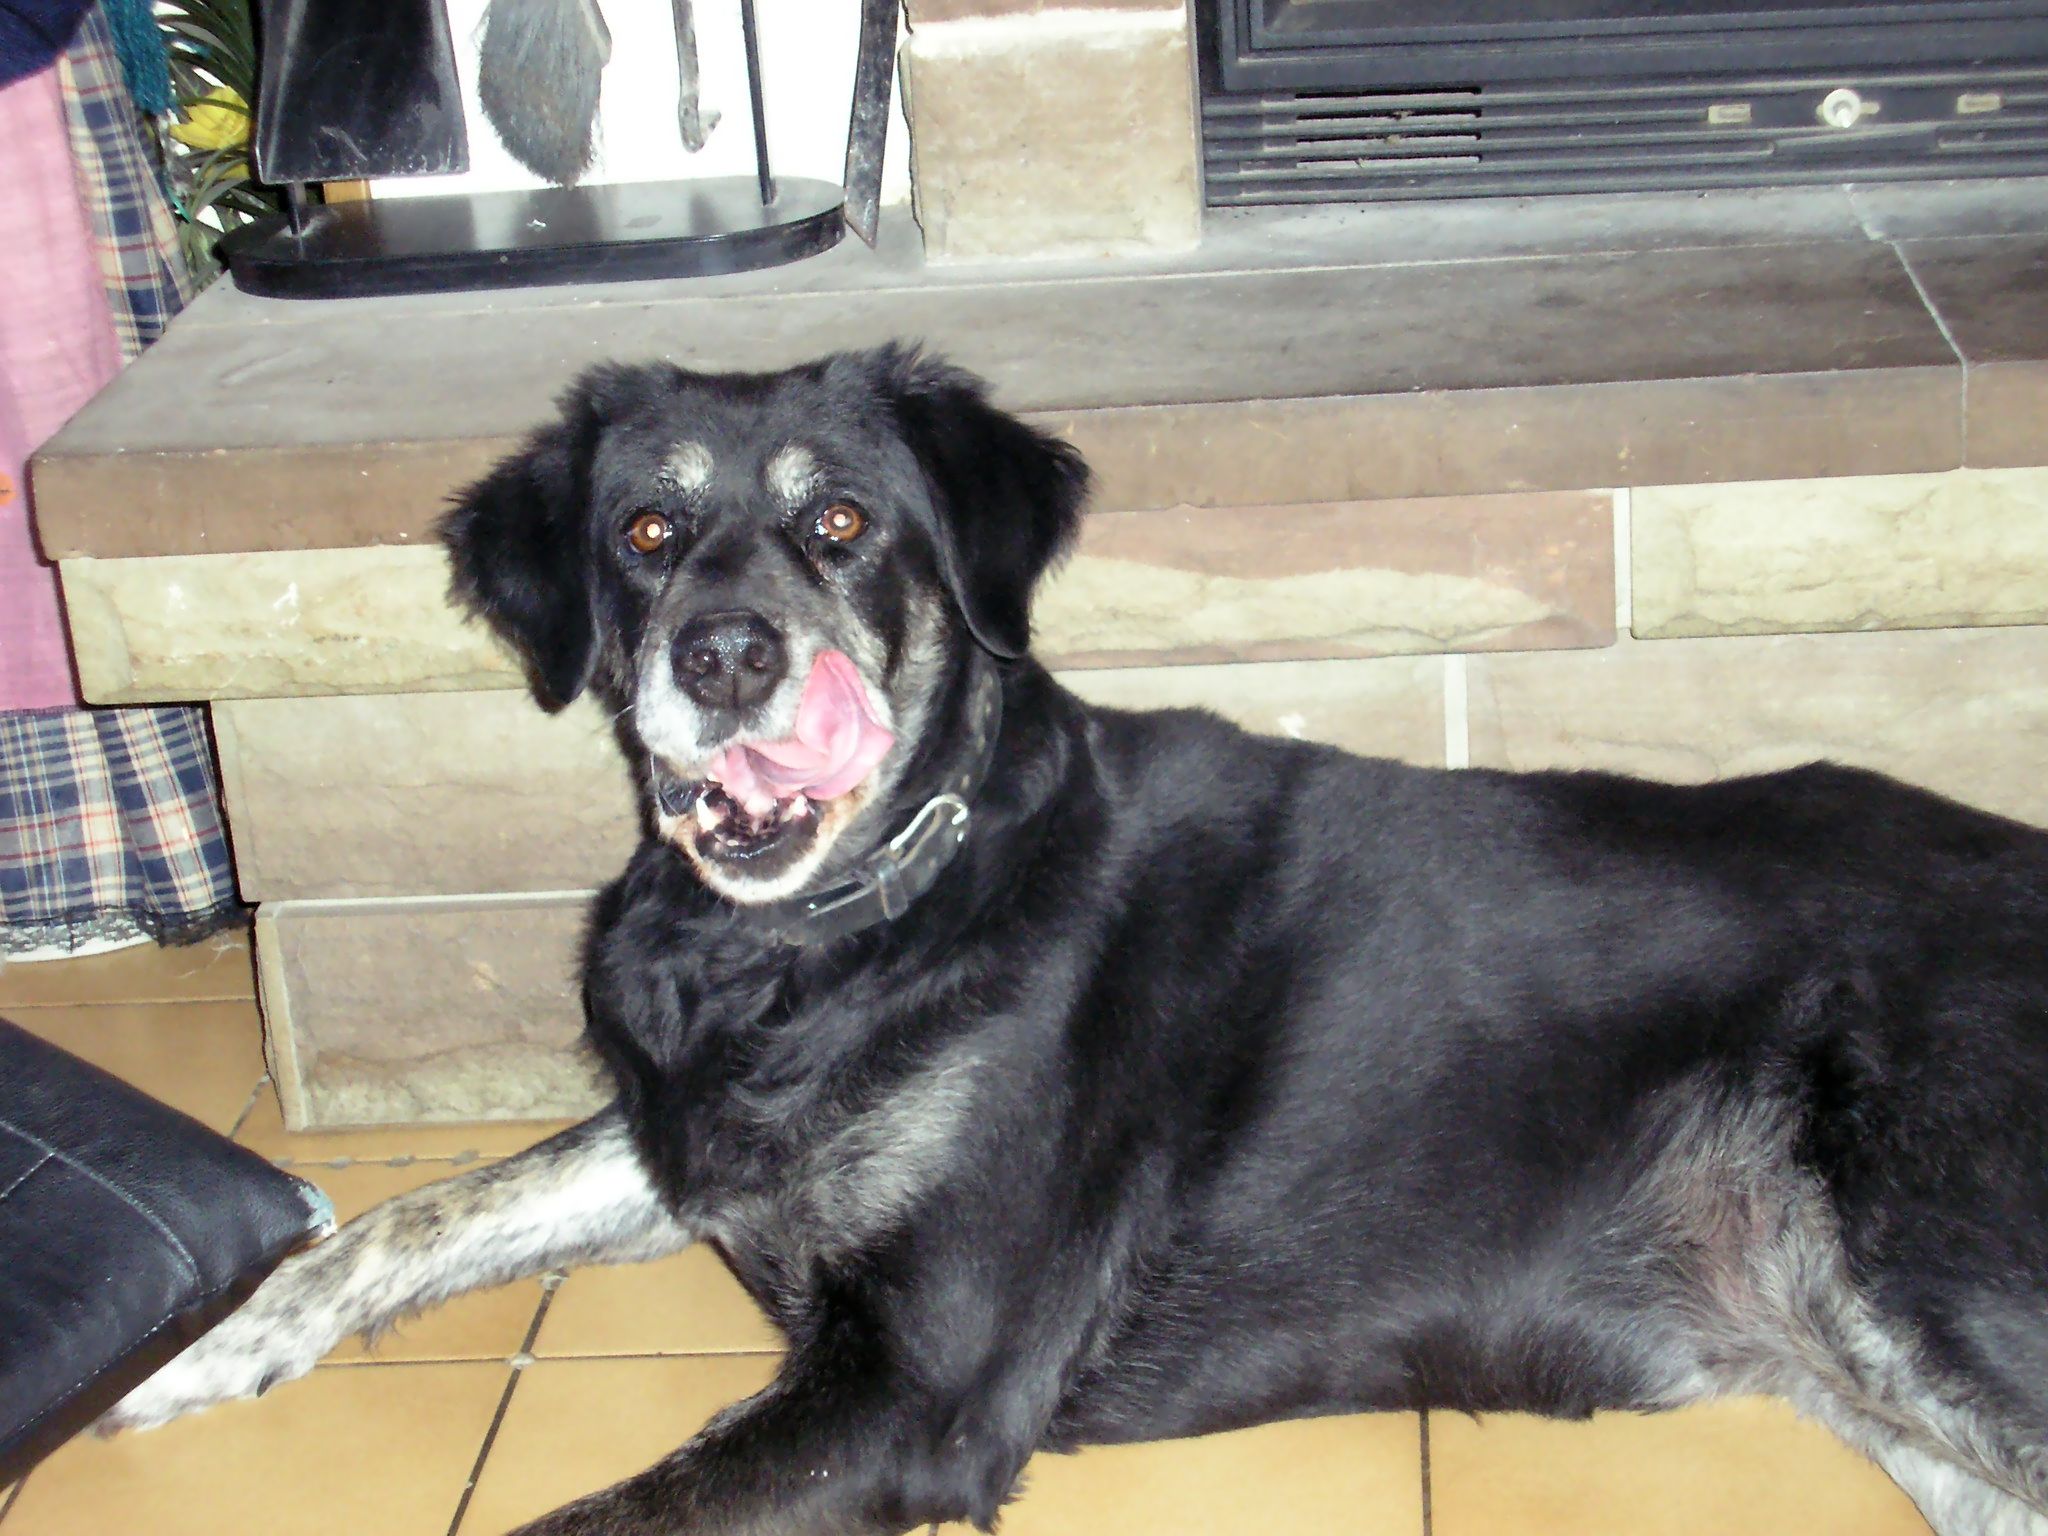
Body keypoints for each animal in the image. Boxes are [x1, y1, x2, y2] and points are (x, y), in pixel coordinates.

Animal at [103, 348, 2048, 1536]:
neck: (847, 930)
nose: (723, 656)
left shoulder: (923, 1380)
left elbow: (591, 1518)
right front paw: (200, 1346)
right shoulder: (685, 1146)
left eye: (840, 524)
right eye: (645, 532)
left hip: (1919, 1268)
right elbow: (404, 1220)